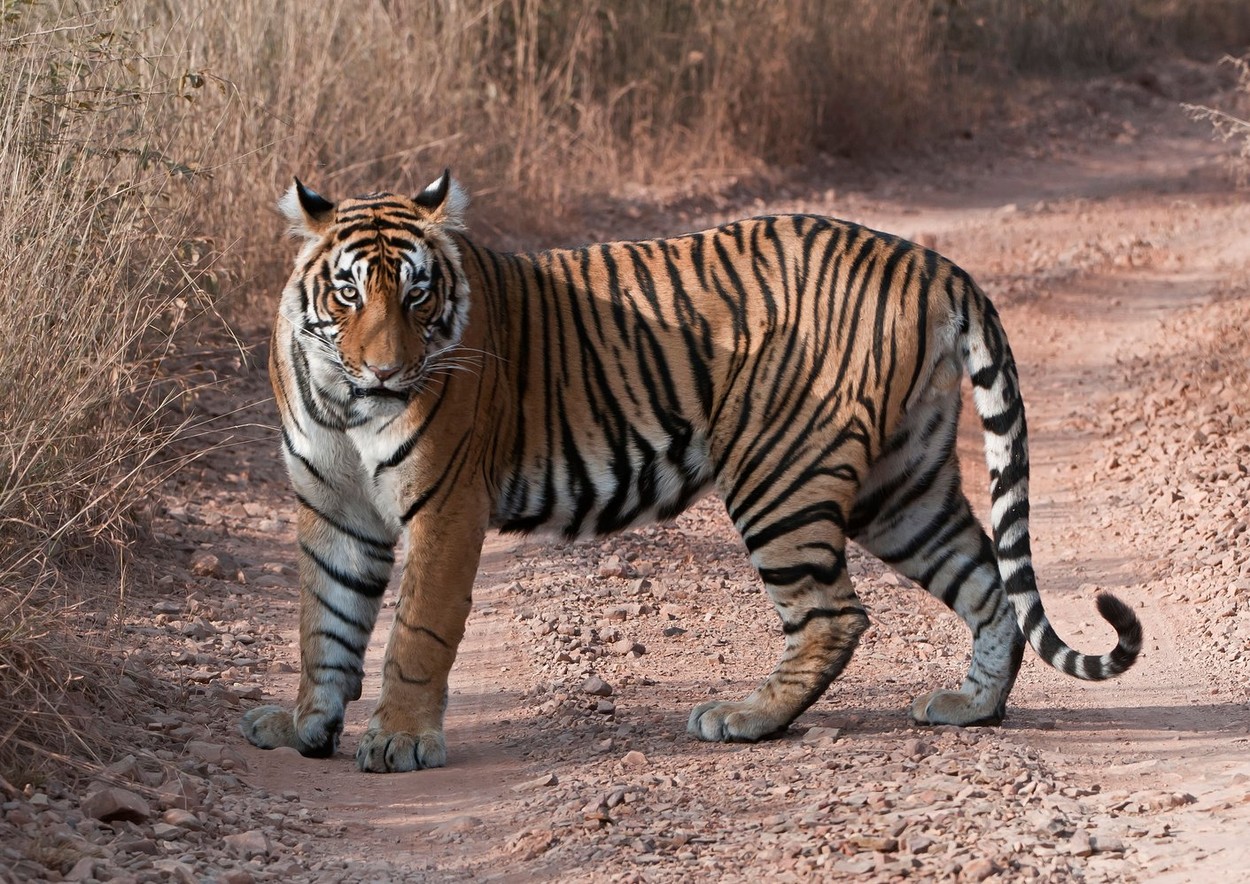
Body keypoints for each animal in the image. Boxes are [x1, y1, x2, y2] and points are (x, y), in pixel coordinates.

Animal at [240, 170, 1143, 773]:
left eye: (419, 296)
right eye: (349, 294)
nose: (388, 372)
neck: (344, 401)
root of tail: (923, 260)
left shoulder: (447, 505)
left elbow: (416, 632)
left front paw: (398, 738)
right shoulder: (334, 511)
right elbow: (324, 623)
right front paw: (305, 727)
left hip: (781, 472)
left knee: (836, 615)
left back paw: (745, 718)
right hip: (903, 484)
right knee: (987, 582)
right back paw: (971, 707)